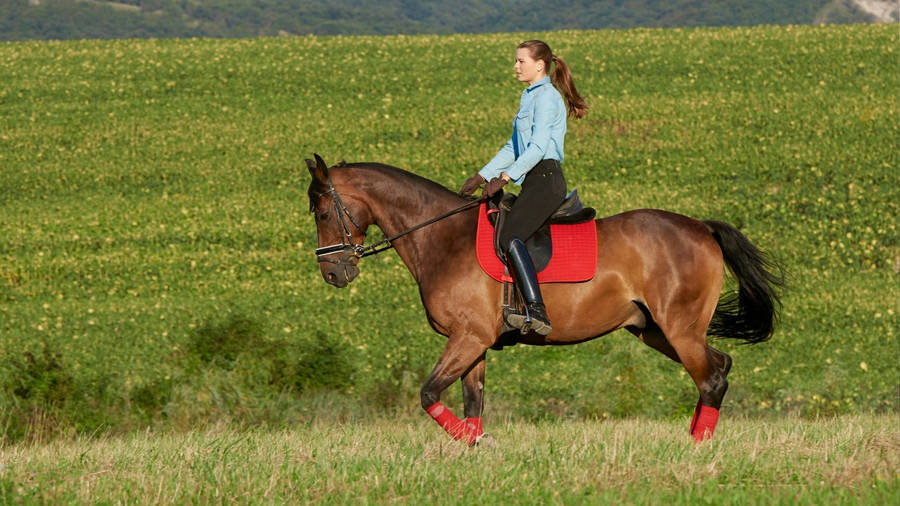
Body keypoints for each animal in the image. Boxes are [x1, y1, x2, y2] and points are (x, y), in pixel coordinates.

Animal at [306, 154, 783, 444]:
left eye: (323, 212)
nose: (333, 273)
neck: (442, 238)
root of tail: (702, 228)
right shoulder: (474, 341)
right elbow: (473, 402)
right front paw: (476, 443)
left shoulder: (468, 338)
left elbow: (427, 394)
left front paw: (478, 443)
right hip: (655, 331)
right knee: (720, 366)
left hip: (680, 329)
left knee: (711, 379)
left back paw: (697, 449)